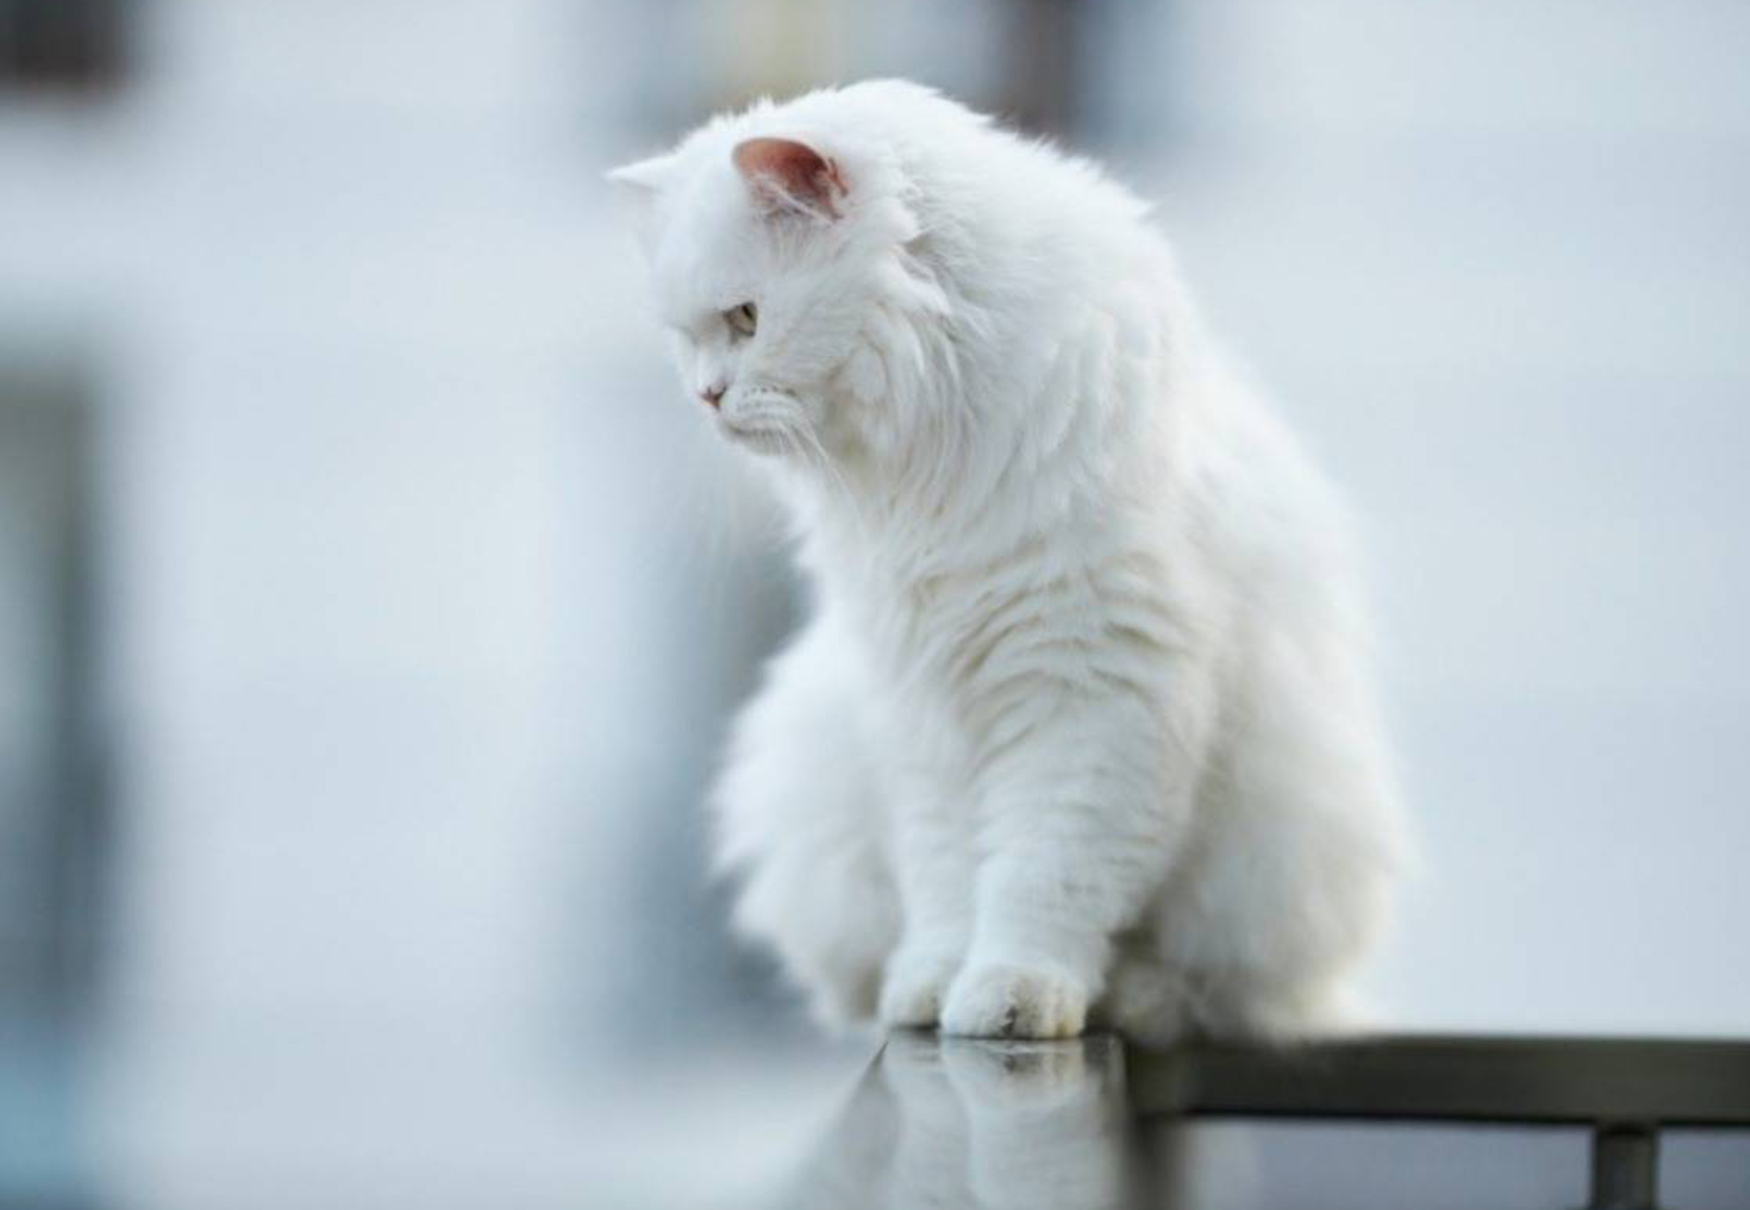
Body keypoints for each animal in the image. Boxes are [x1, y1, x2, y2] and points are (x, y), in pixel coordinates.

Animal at [616, 80, 1407, 1043]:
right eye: (684, 338)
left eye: (746, 318)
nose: (707, 396)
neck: (929, 451)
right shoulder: (924, 711)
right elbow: (949, 880)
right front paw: (930, 989)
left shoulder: (1093, 694)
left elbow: (1043, 877)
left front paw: (1013, 997)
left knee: (1210, 987)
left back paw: (1133, 999)